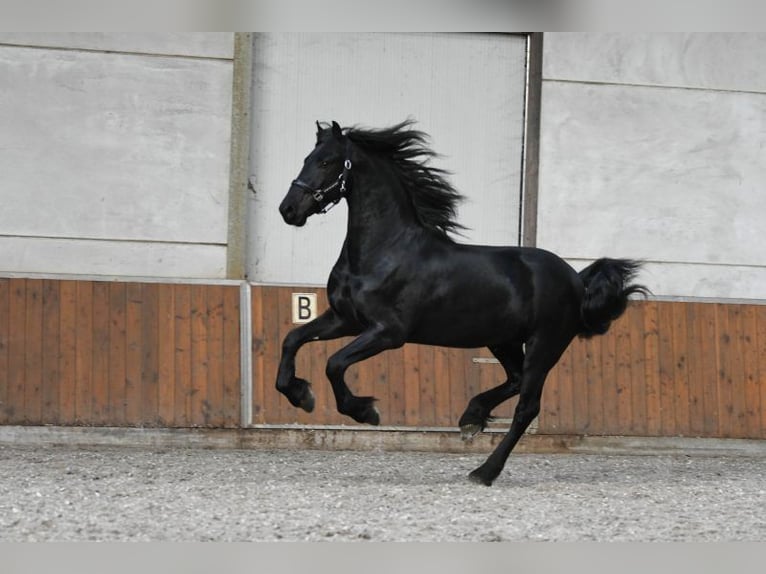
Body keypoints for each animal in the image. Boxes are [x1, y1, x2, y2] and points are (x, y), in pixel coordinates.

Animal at [276, 120, 648, 486]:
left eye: (326, 162)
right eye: (307, 159)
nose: (288, 209)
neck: (383, 251)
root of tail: (577, 281)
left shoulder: (387, 333)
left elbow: (334, 363)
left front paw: (365, 411)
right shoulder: (345, 319)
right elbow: (292, 340)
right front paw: (299, 394)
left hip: (544, 346)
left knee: (526, 408)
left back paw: (484, 471)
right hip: (503, 341)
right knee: (514, 380)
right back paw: (472, 417)